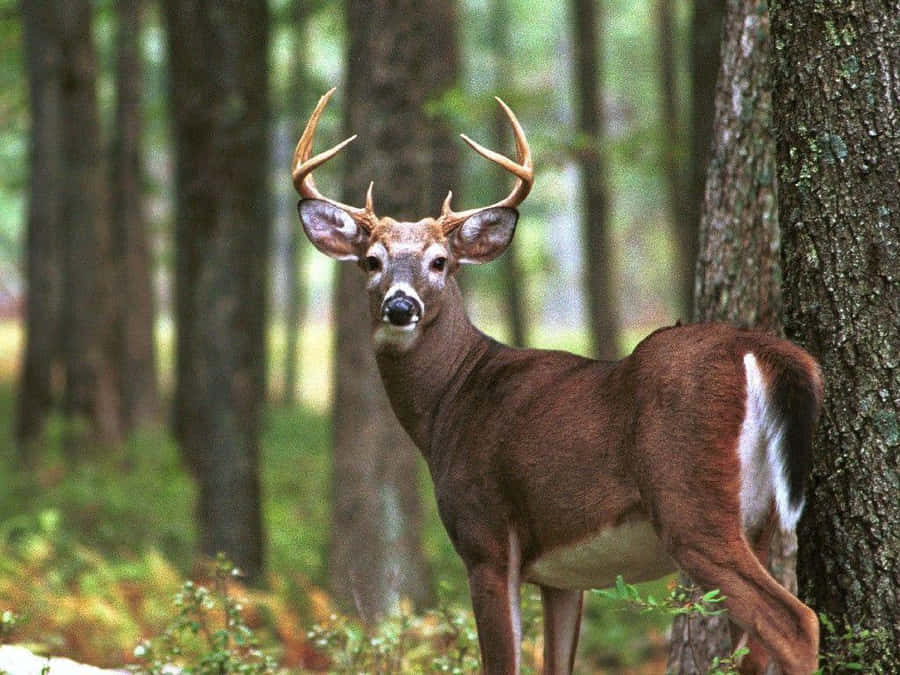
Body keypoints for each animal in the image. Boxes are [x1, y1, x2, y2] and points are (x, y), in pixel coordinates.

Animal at [292, 88, 823, 675]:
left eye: (440, 262)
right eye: (371, 261)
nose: (400, 306)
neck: (451, 401)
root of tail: (759, 349)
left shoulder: (485, 536)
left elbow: (501, 662)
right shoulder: (562, 576)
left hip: (692, 501)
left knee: (795, 621)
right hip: (759, 520)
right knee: (755, 643)